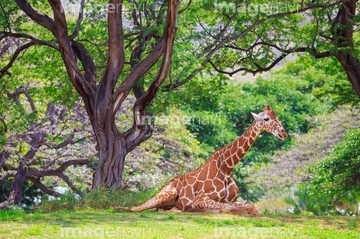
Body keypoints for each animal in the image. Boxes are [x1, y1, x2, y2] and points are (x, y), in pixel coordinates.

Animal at [115, 105, 286, 214]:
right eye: (266, 119)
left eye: (277, 117)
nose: (283, 133)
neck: (227, 168)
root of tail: (165, 184)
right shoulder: (200, 198)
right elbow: (227, 208)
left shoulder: (233, 199)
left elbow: (253, 207)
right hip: (167, 193)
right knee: (135, 208)